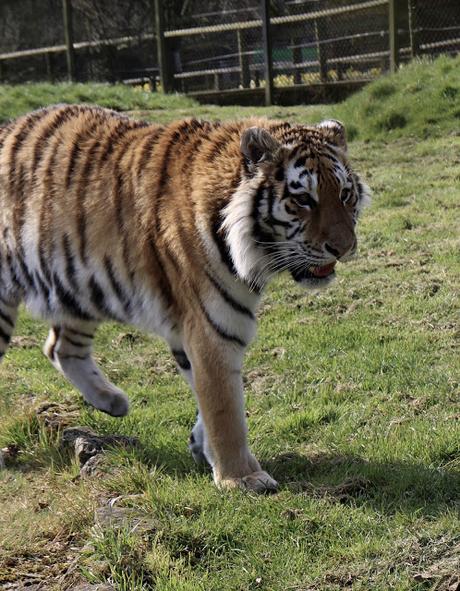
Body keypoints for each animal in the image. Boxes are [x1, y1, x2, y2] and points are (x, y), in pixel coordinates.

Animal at [0, 105, 368, 494]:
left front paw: (202, 448)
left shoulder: (193, 329)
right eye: (302, 199)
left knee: (59, 347)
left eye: (345, 194)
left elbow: (207, 397)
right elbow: (225, 408)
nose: (344, 248)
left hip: (81, 288)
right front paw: (242, 477)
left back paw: (113, 402)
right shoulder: (212, 328)